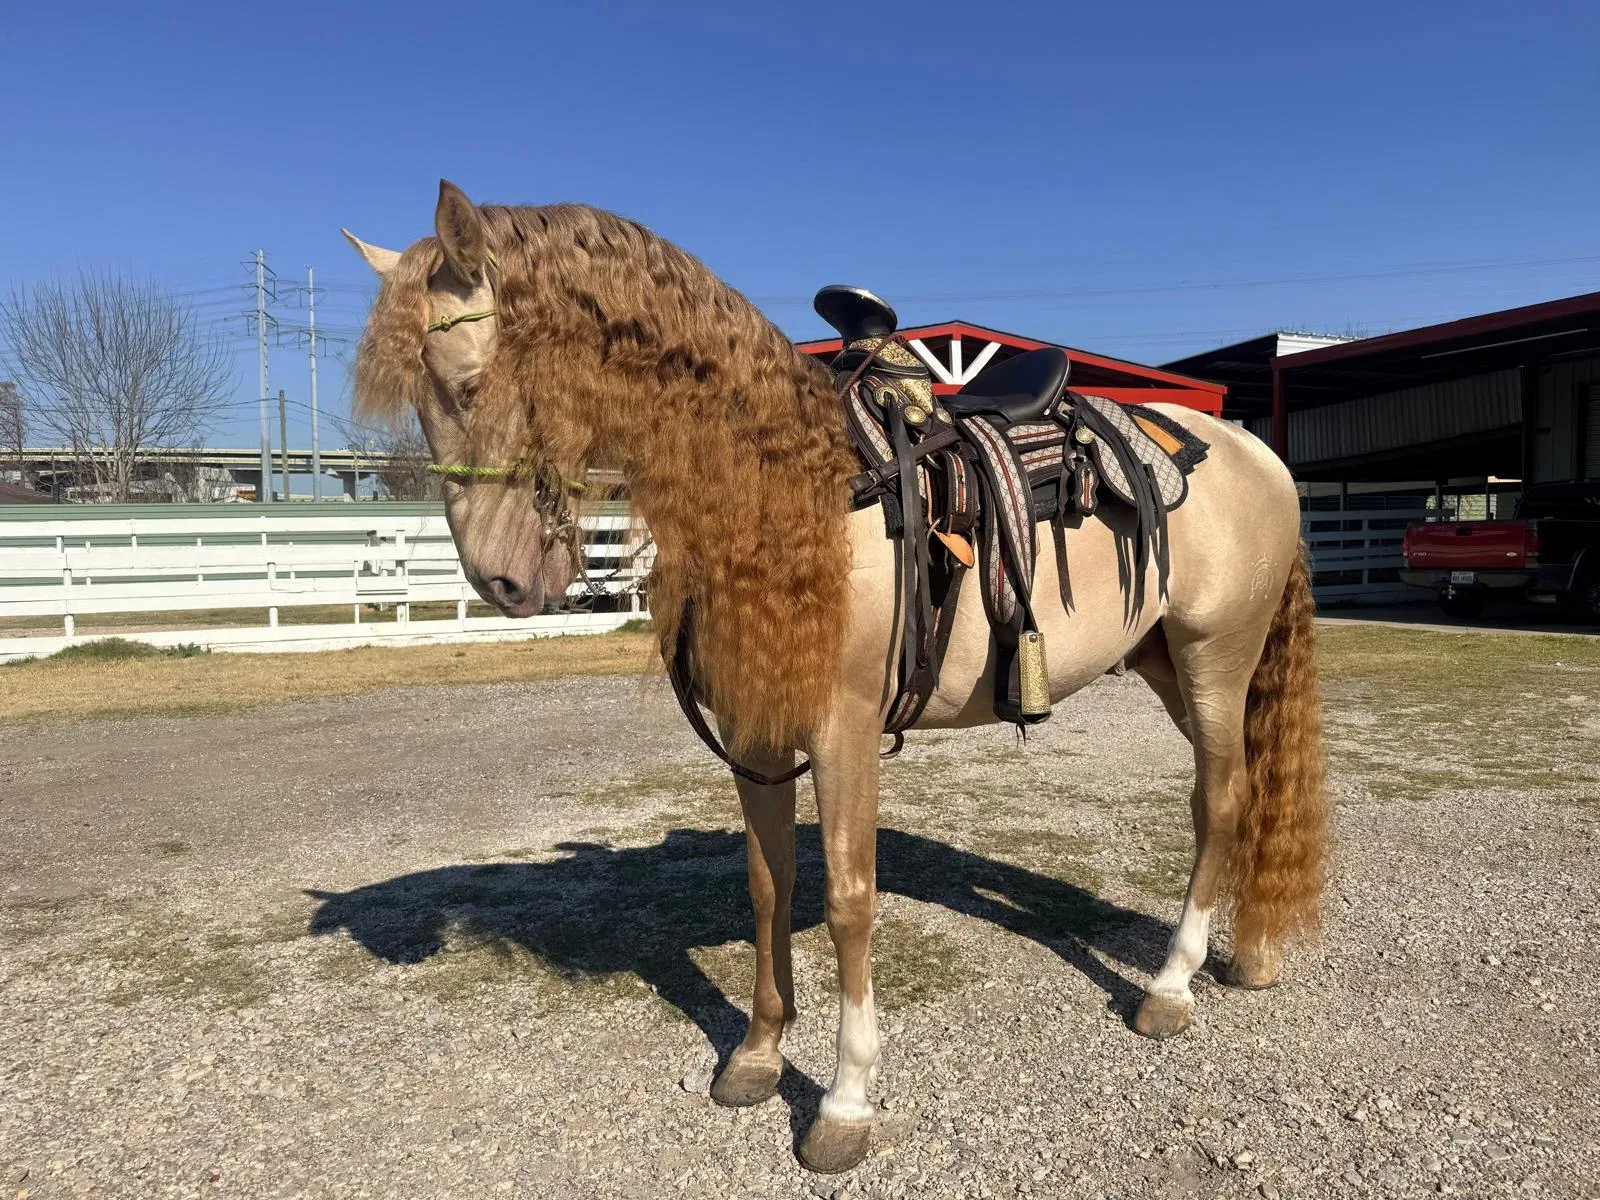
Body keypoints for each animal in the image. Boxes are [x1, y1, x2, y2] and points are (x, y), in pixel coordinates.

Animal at [343, 180, 1326, 1175]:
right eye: (421, 403)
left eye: (470, 385)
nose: (502, 582)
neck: (778, 489)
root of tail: (1254, 452)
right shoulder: (756, 736)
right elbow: (767, 884)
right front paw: (757, 1055)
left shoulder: (843, 730)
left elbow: (849, 900)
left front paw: (845, 1101)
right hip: (1168, 663)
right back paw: (1244, 955)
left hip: (1213, 659)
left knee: (1220, 802)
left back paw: (1171, 984)